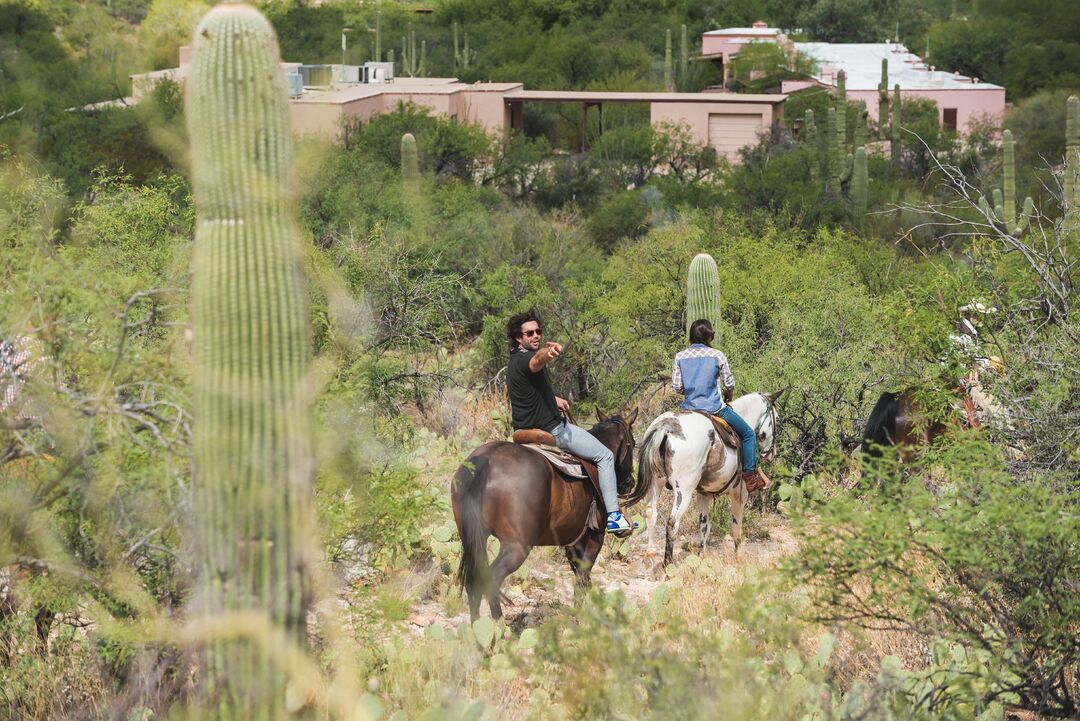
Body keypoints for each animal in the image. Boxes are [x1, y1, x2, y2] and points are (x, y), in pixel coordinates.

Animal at [449, 407, 639, 621]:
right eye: (633, 444)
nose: (629, 482)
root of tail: (484, 462)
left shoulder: (572, 541)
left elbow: (581, 580)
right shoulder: (594, 537)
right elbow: (582, 580)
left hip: (474, 538)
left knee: (473, 584)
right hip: (517, 546)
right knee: (491, 580)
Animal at [635, 390, 781, 565]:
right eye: (777, 418)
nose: (772, 454)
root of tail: (666, 427)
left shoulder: (703, 494)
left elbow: (704, 526)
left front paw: (701, 556)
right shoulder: (739, 494)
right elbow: (736, 528)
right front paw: (737, 557)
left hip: (655, 483)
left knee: (651, 513)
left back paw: (650, 553)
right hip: (683, 491)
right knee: (672, 523)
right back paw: (667, 564)